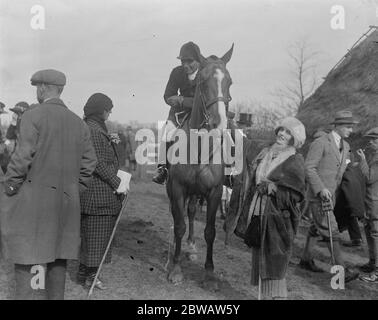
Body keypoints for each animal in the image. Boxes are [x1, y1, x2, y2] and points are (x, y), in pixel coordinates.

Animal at [165, 45, 233, 290]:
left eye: (229, 82)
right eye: (202, 83)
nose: (219, 124)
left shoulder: (214, 193)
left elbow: (210, 231)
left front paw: (209, 273)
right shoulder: (177, 188)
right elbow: (179, 226)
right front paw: (176, 269)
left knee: (193, 212)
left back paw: (192, 247)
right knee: (180, 215)